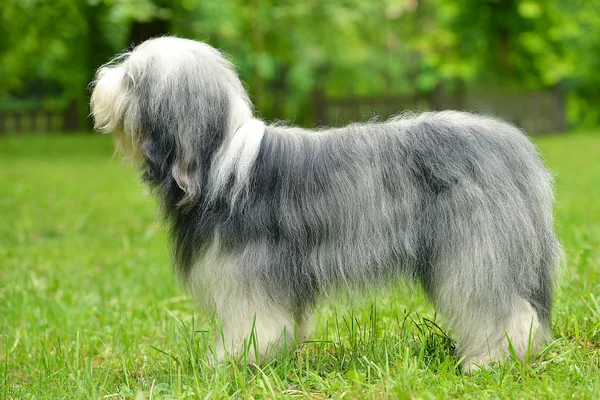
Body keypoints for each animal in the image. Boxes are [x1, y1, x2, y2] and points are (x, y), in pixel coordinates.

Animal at [90, 36, 564, 374]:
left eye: (132, 79)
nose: (99, 82)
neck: (219, 163)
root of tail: (513, 145)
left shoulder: (247, 275)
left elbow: (256, 325)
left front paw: (231, 363)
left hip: (475, 250)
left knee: (500, 307)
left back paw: (491, 360)